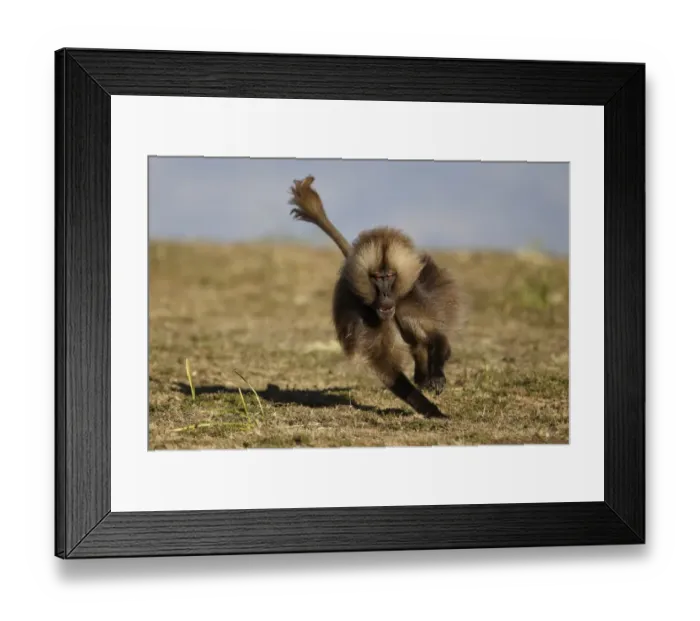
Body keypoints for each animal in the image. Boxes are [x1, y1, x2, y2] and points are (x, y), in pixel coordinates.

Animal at [288, 175, 460, 419]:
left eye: (389, 276)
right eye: (377, 278)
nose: (386, 295)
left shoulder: (409, 302)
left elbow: (437, 336)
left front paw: (436, 377)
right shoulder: (362, 314)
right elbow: (383, 363)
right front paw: (430, 408)